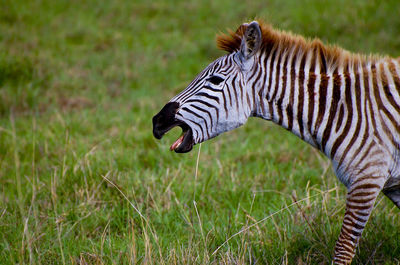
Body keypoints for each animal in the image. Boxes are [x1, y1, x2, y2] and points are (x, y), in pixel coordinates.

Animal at [152, 21, 398, 264]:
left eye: (215, 80)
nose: (157, 121)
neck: (342, 110)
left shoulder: (366, 179)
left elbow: (343, 250)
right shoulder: (391, 184)